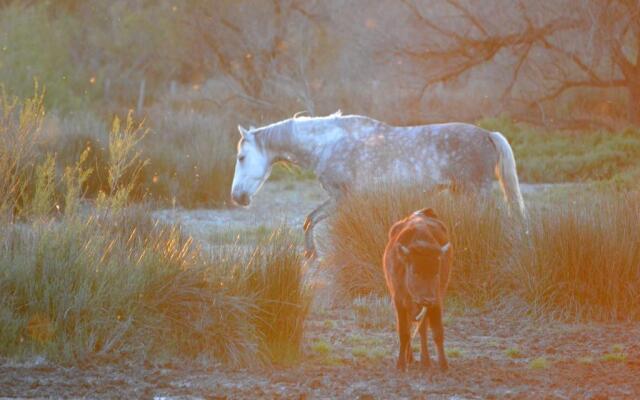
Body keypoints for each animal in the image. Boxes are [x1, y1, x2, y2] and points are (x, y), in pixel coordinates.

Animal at [230, 111, 524, 258]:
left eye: (241, 157)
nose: (237, 197)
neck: (328, 144)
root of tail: (488, 134)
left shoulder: (343, 198)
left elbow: (314, 221)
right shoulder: (341, 200)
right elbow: (309, 220)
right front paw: (310, 254)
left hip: (477, 193)